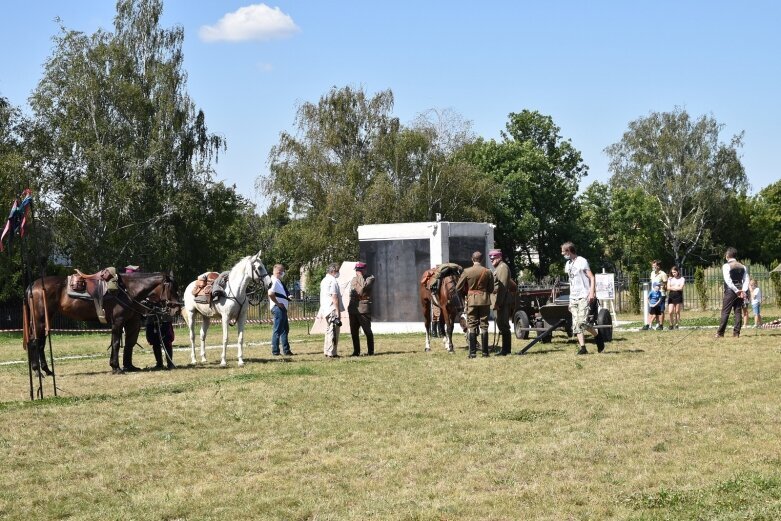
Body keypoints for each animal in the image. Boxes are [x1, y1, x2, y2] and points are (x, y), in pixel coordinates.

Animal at [25, 272, 181, 374]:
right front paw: (116, 367)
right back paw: (37, 371)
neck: (126, 290)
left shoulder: (121, 323)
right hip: (39, 320)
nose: (177, 309)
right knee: (34, 342)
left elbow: (119, 343)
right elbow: (116, 343)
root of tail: (33, 286)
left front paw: (118, 366)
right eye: (172, 288)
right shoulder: (118, 322)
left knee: (41, 343)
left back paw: (47, 371)